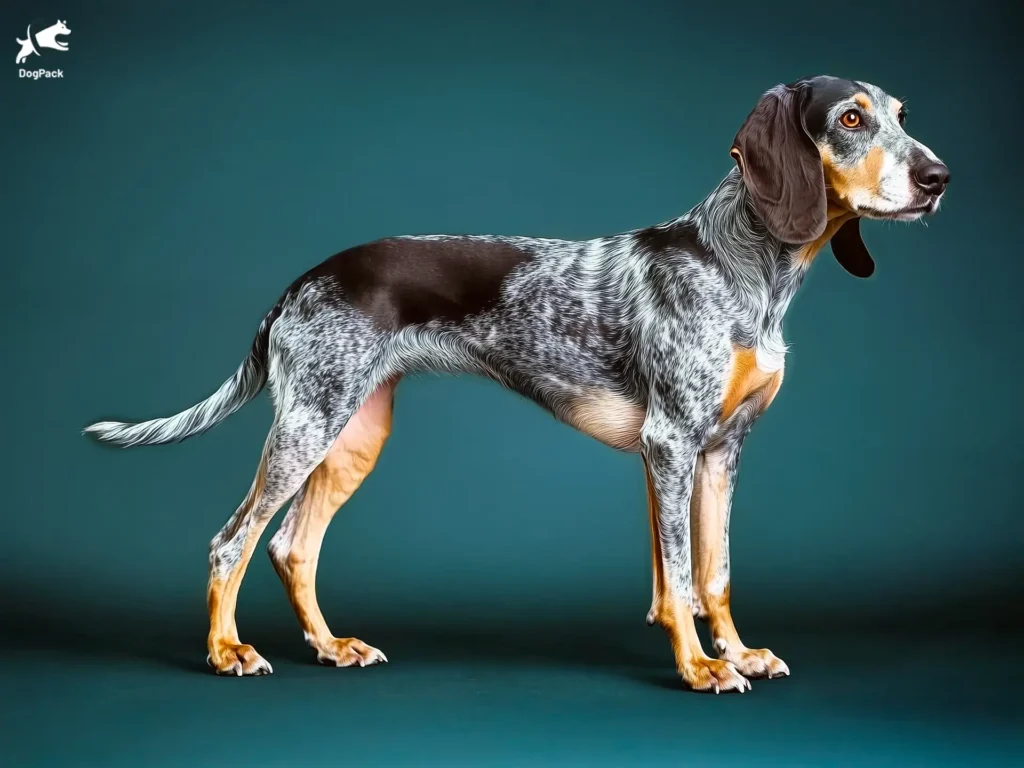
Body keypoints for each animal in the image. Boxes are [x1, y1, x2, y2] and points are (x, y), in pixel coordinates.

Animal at [83, 76, 946, 692]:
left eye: (903, 113)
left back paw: (331, 646)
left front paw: (737, 654)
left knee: (293, 547)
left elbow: (715, 573)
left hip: (353, 432)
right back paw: (226, 652)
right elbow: (678, 580)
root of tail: (300, 282)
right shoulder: (670, 446)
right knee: (232, 542)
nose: (939, 176)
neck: (741, 264)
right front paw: (700, 666)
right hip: (307, 427)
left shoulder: (720, 453)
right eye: (852, 119)